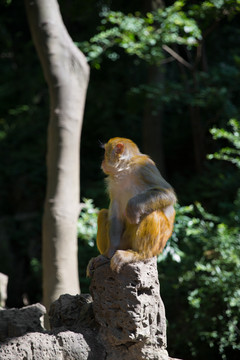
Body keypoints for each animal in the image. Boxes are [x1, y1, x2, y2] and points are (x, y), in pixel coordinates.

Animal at [86, 136, 176, 274]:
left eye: (105, 152)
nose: (102, 161)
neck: (125, 169)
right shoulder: (113, 184)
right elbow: (115, 216)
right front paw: (107, 255)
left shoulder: (145, 167)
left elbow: (167, 193)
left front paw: (133, 207)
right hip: (125, 242)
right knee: (103, 213)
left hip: (158, 244)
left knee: (152, 214)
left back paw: (138, 254)